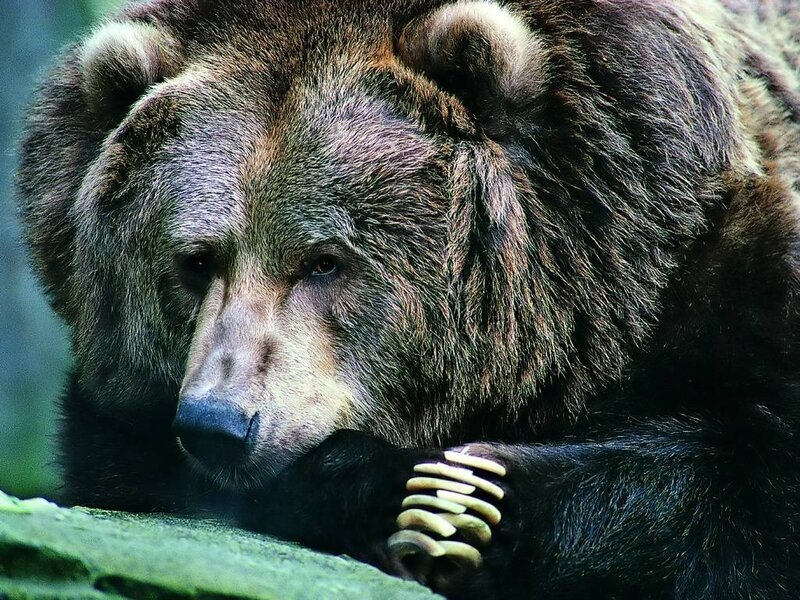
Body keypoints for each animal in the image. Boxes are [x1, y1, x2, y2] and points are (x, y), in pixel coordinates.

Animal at [15, 0, 800, 598]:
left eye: (324, 260)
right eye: (196, 259)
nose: (219, 421)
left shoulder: (720, 262)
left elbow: (749, 484)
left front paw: (475, 499)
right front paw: (412, 495)